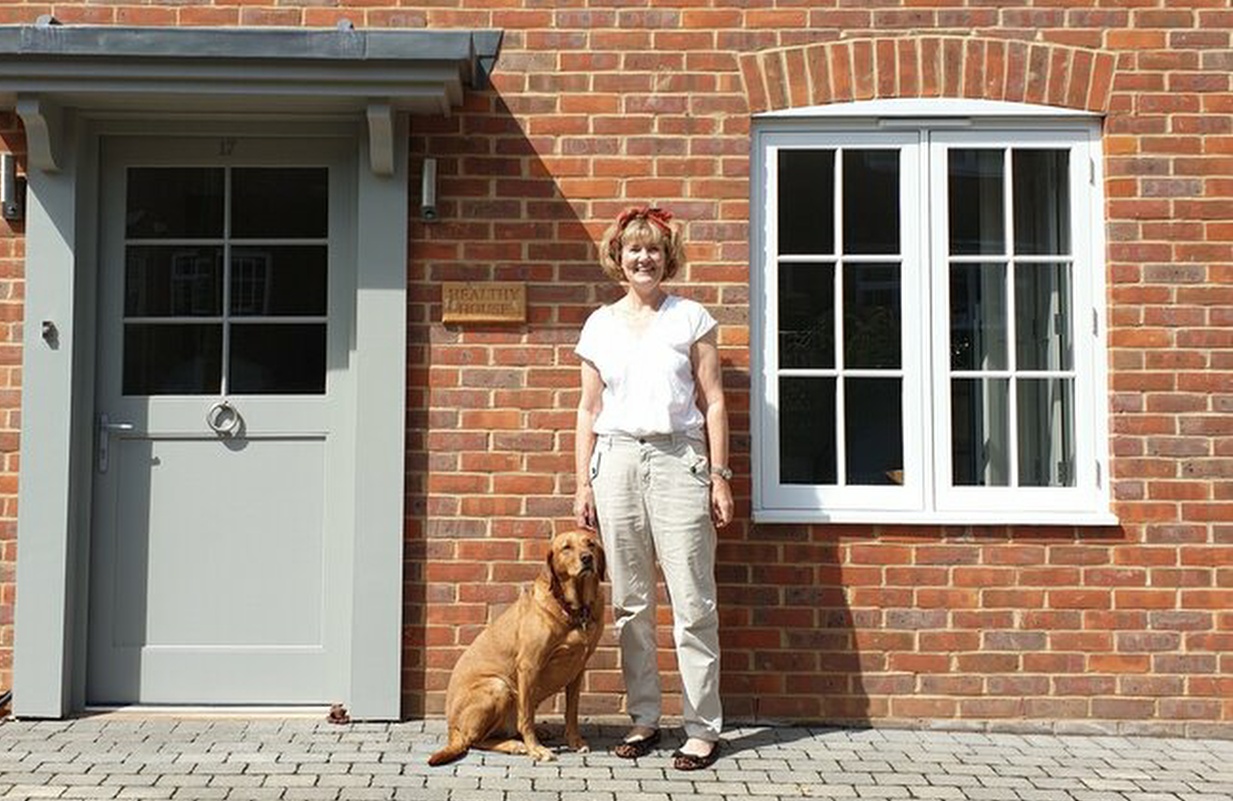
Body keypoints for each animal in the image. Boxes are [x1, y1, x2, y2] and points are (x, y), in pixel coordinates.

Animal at [429, 527, 606, 764]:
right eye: (566, 547)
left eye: (591, 544)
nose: (587, 558)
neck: (574, 610)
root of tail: (451, 728)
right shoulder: (529, 666)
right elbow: (526, 717)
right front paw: (535, 748)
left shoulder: (578, 668)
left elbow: (572, 712)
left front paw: (575, 741)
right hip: (499, 686)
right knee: (474, 739)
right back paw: (515, 744)